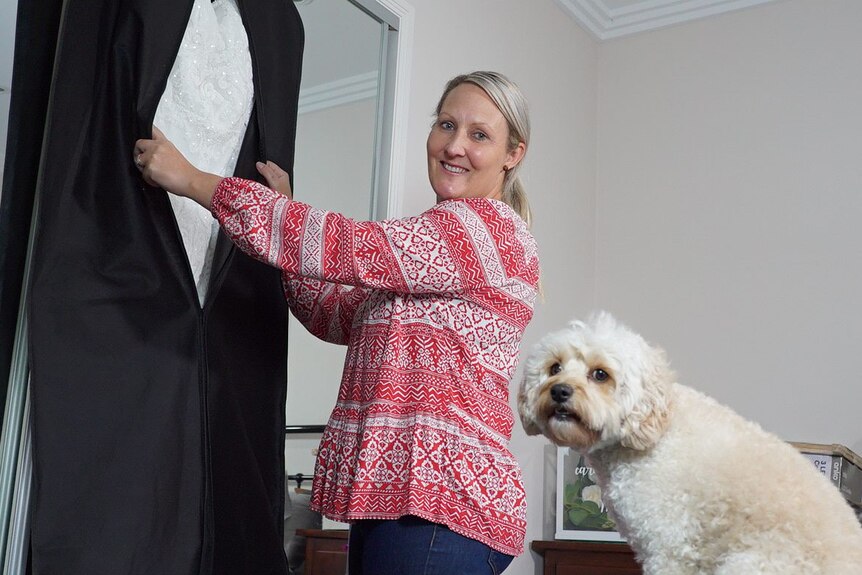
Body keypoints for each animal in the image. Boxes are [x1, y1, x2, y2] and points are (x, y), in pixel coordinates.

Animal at [520, 312, 862, 575]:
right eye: (554, 368)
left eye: (600, 374)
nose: (559, 391)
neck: (656, 428)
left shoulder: (668, 546)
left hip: (747, 563)